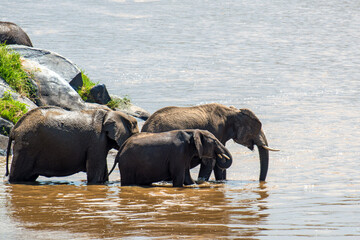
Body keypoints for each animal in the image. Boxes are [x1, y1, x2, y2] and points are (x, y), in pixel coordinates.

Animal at [5, 105, 141, 184]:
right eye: (135, 132)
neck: (112, 112)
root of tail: (14, 129)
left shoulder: (100, 143)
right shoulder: (97, 141)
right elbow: (95, 175)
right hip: (27, 146)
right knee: (17, 176)